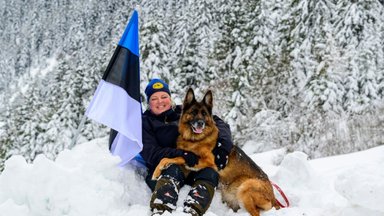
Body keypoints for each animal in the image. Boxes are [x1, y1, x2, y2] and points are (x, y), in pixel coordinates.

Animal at [152, 88, 280, 216]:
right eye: (193, 112)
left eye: (204, 114)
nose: (200, 123)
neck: (195, 140)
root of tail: (274, 199)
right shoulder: (189, 161)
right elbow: (176, 158)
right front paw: (160, 168)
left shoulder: (207, 161)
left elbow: (178, 157)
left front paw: (157, 170)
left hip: (246, 188)